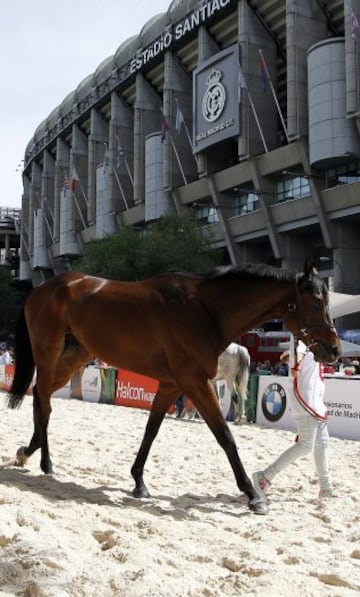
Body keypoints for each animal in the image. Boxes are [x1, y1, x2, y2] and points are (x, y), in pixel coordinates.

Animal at [7, 258, 340, 516]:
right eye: (316, 301)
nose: (334, 350)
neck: (205, 311)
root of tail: (42, 289)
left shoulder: (170, 384)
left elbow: (151, 431)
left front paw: (138, 481)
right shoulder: (195, 382)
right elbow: (225, 435)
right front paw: (253, 494)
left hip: (74, 358)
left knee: (41, 397)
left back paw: (29, 451)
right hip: (48, 353)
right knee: (43, 401)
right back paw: (45, 461)